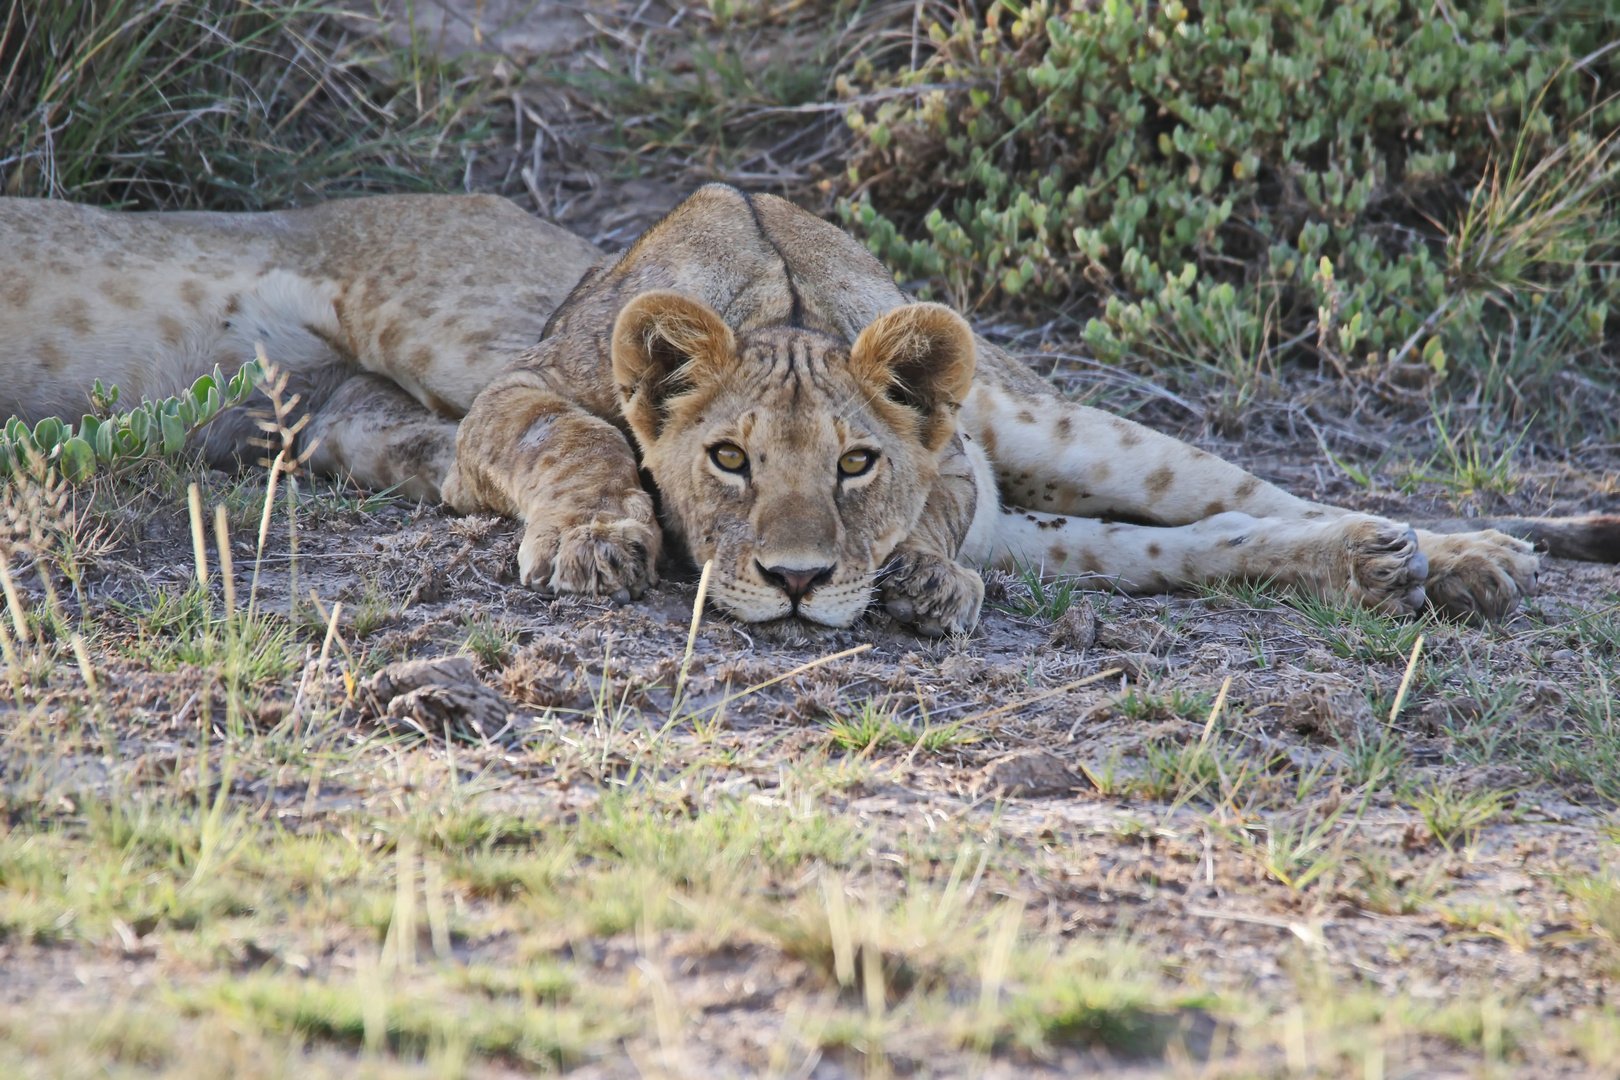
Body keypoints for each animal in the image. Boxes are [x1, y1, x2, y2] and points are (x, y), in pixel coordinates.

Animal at [6, 181, 1613, 628]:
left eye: (851, 465)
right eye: (722, 459)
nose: (789, 583)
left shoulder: (950, 473)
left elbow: (946, 508)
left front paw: (914, 581)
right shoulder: (510, 407)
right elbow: (575, 438)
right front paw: (596, 544)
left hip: (1051, 423)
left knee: (1225, 486)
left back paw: (1465, 556)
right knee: (1185, 542)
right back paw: (1400, 565)